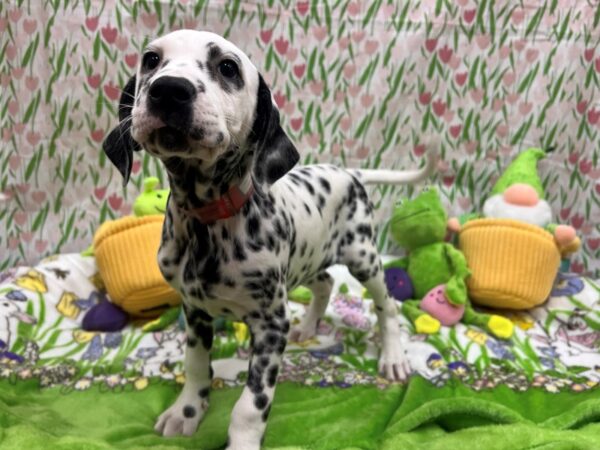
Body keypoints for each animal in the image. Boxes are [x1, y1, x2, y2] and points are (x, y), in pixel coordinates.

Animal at [104, 30, 436, 450]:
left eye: (227, 67)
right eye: (151, 59)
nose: (169, 89)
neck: (206, 221)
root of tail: (349, 172)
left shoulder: (271, 324)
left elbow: (251, 404)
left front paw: (242, 440)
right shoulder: (195, 311)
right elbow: (195, 366)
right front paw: (186, 411)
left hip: (363, 257)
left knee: (387, 305)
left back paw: (392, 357)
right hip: (308, 259)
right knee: (325, 283)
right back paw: (308, 327)